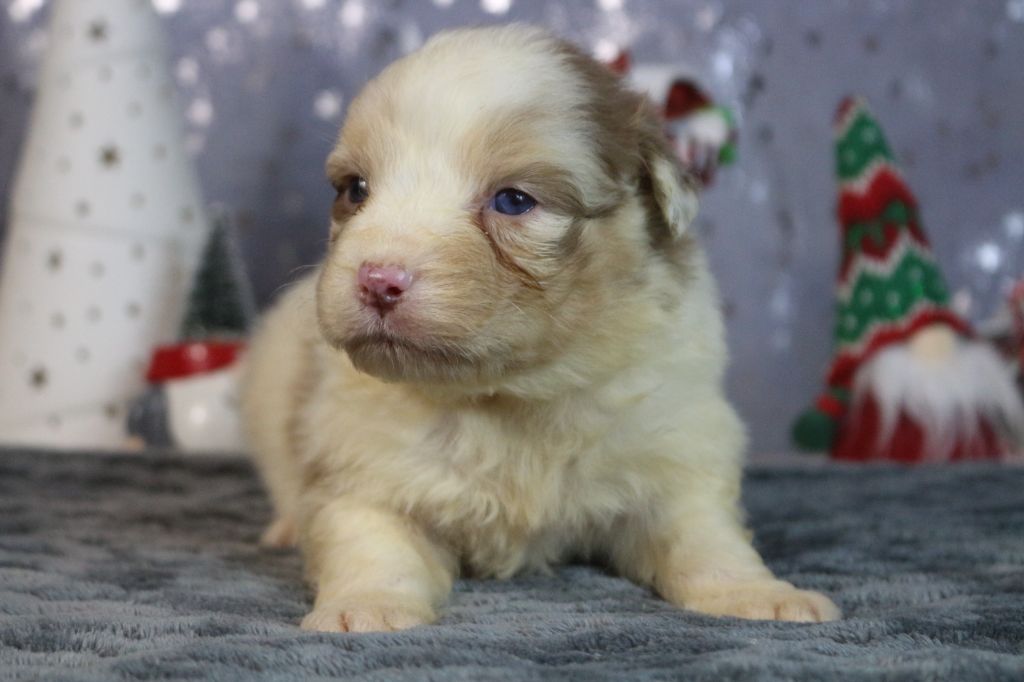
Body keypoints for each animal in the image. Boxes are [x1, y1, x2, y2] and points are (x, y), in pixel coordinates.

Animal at [239, 26, 839, 630]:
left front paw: (756, 593)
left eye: (513, 200)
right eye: (356, 190)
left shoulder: (675, 446)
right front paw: (366, 607)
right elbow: (372, 543)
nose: (377, 280)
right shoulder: (364, 465)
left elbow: (707, 538)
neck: (508, 395)